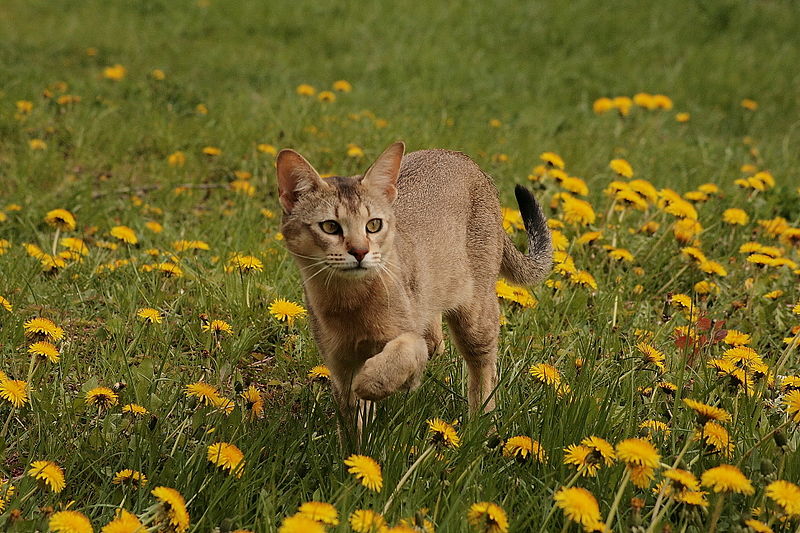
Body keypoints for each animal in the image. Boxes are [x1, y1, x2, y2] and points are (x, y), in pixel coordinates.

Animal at [276, 142, 552, 436]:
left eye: (373, 225)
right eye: (330, 226)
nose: (360, 252)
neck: (351, 303)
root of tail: (461, 157)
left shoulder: (406, 341)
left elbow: (402, 355)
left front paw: (372, 382)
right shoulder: (339, 364)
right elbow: (354, 427)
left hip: (476, 317)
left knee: (484, 368)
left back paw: (481, 427)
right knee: (437, 341)